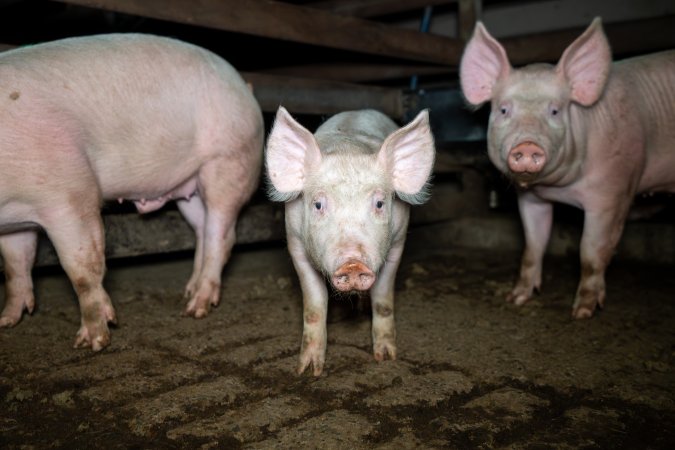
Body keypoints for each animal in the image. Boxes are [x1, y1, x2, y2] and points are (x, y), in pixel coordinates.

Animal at [0, 34, 264, 352]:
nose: (4, 323)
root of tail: (243, 85)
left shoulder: (69, 190)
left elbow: (81, 269)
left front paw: (92, 342)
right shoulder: (15, 220)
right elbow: (15, 265)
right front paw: (6, 322)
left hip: (229, 161)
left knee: (222, 234)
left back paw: (195, 309)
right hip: (189, 188)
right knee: (202, 227)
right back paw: (188, 292)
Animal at [266, 106, 436, 376]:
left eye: (379, 203)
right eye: (318, 204)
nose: (353, 264)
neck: (349, 150)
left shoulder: (398, 241)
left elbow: (383, 299)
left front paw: (386, 358)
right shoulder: (295, 242)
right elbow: (314, 306)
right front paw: (308, 371)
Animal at [460, 17, 675, 318]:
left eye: (555, 111)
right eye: (503, 110)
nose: (528, 145)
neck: (560, 189)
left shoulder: (613, 194)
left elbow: (591, 252)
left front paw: (582, 312)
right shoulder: (532, 198)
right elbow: (533, 245)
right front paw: (516, 298)